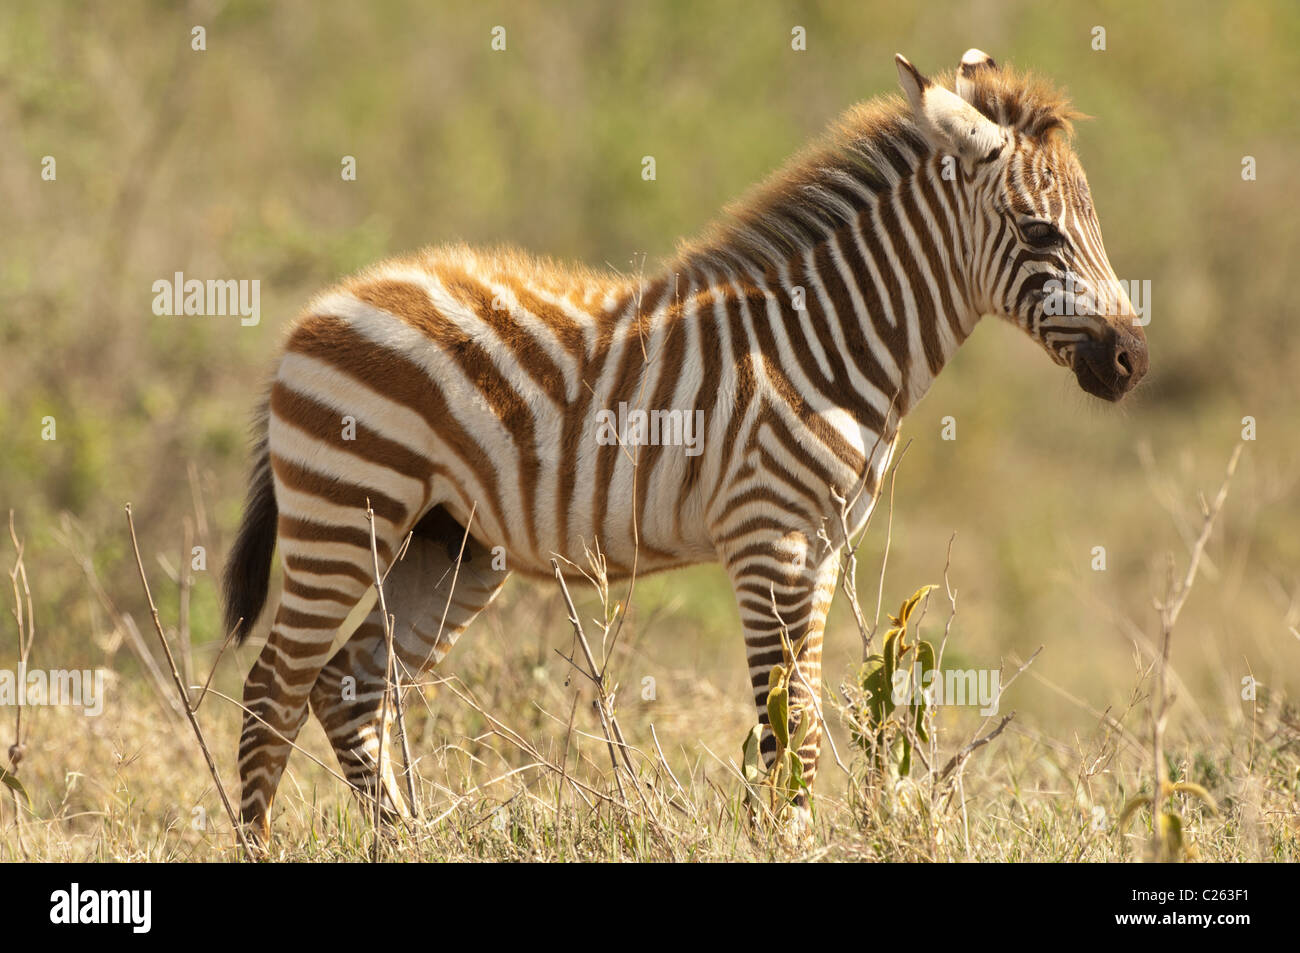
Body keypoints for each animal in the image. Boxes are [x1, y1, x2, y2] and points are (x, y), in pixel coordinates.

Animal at [223, 50, 1149, 842]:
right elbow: (785, 717)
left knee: (348, 687)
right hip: (348, 514)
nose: (1133, 362)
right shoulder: (767, 535)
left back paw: (407, 841)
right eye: (1039, 233)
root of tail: (317, 312)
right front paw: (785, 843)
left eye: (1094, 224)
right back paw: (262, 845)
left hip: (449, 544)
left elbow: (802, 711)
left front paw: (794, 836)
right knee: (275, 684)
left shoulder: (822, 550)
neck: (825, 345)